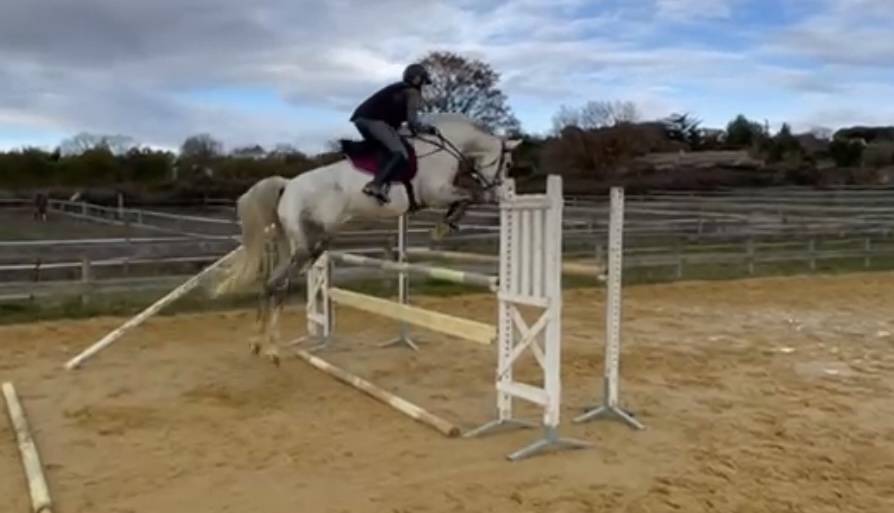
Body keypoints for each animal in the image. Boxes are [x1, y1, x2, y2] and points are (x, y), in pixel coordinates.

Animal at [210, 113, 521, 364]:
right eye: (507, 165)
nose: (498, 189)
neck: (443, 148)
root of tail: (287, 186)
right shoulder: (436, 193)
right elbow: (469, 197)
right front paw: (444, 226)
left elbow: (467, 198)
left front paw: (447, 224)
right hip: (306, 245)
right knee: (278, 284)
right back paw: (271, 349)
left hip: (298, 243)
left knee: (271, 284)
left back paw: (258, 344)